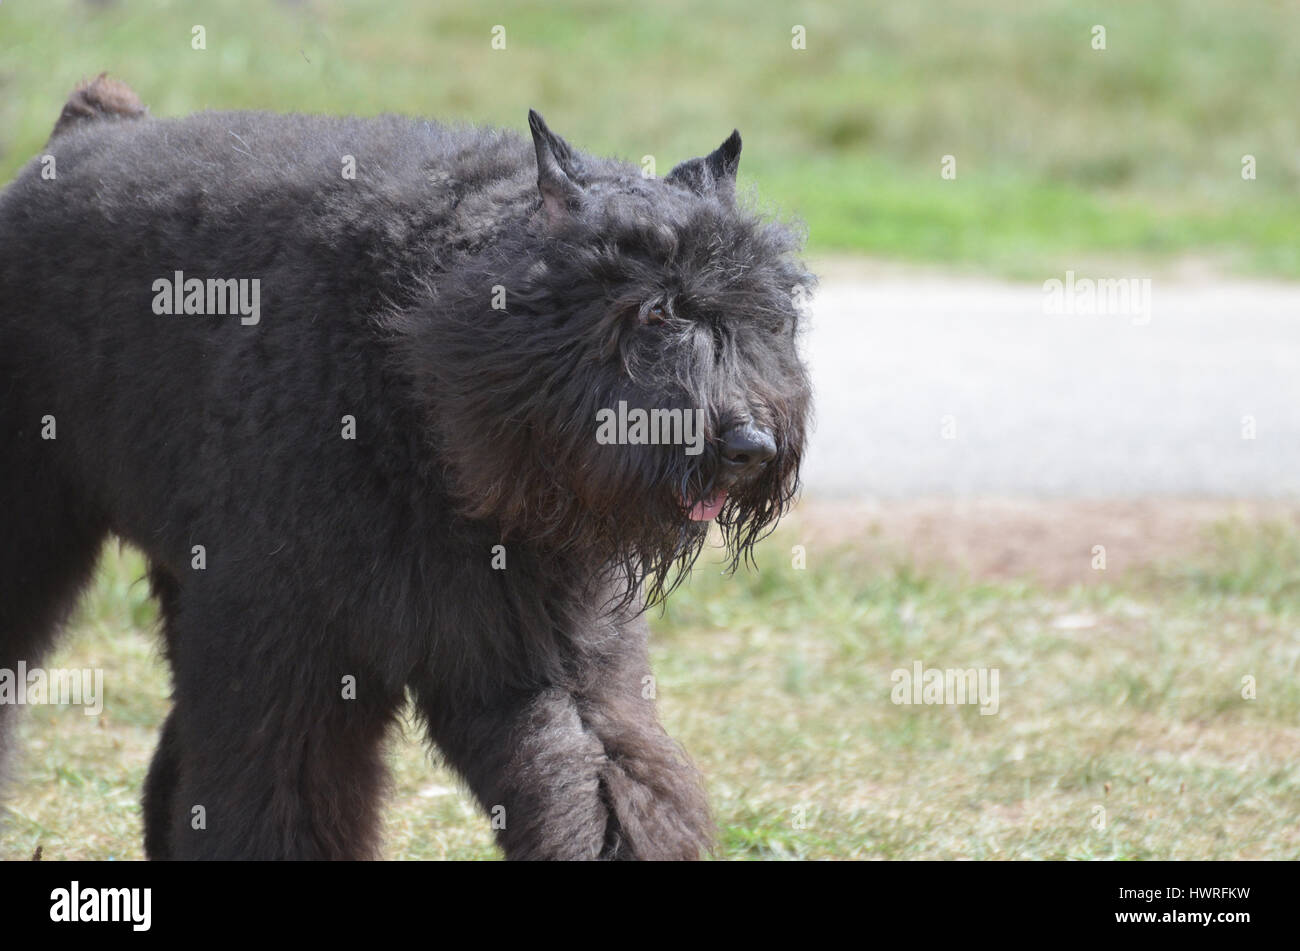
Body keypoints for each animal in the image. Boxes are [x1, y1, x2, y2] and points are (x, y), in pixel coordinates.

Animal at [0, 77, 811, 857]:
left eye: (767, 316)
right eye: (653, 311)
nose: (749, 447)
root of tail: (81, 131)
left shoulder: (542, 660)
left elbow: (602, 780)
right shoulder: (289, 660)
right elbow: (280, 801)